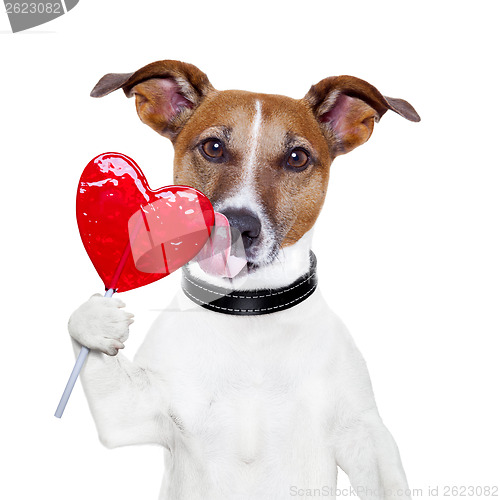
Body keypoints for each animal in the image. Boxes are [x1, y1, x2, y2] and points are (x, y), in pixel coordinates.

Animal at [68, 60, 420, 498]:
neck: (249, 313)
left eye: (297, 157)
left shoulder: (364, 435)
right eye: (213, 148)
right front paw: (99, 320)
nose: (236, 226)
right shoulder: (131, 414)